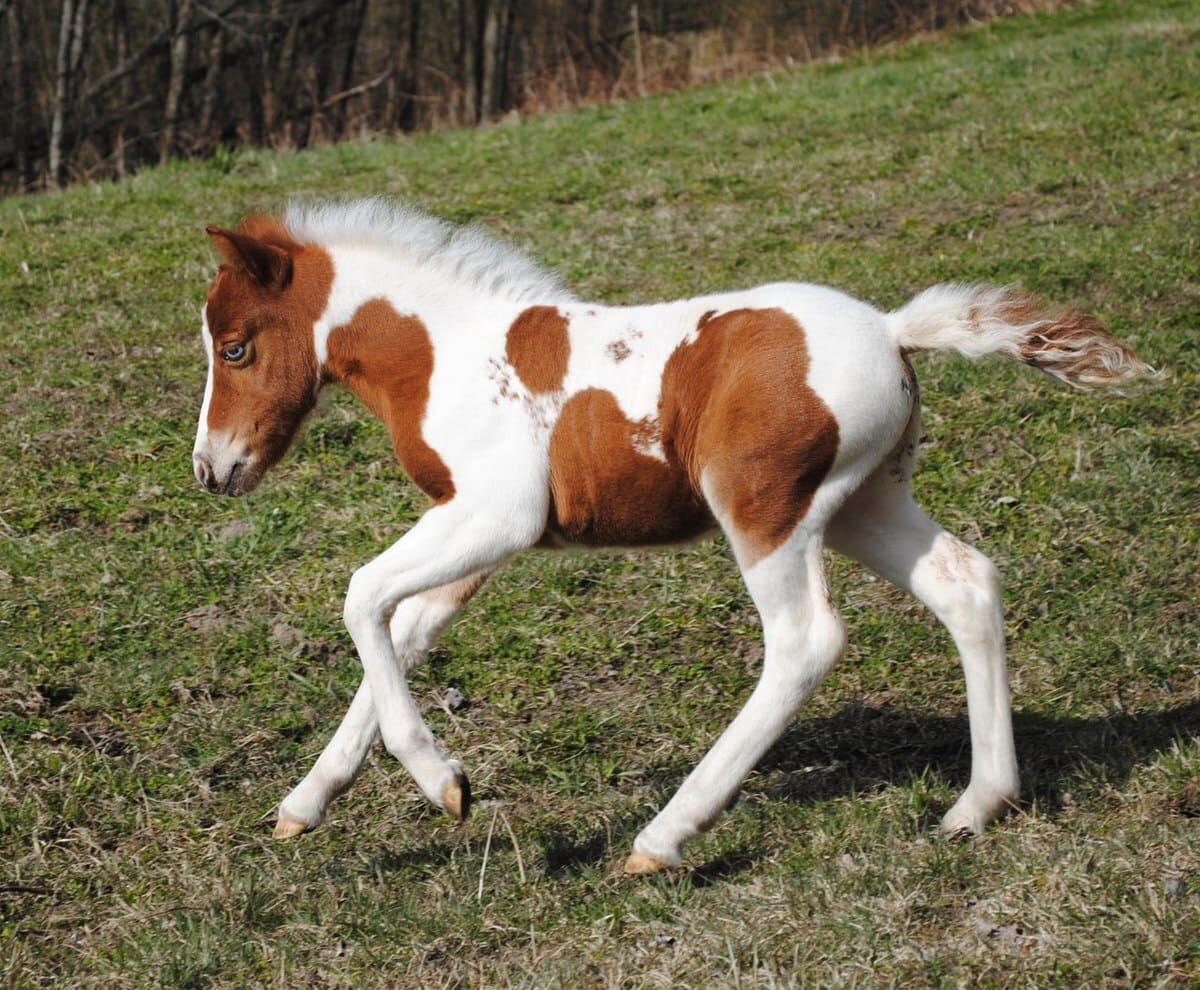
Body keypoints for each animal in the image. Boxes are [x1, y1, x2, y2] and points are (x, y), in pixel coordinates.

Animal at [189, 200, 1152, 873]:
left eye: (234, 348)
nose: (212, 468)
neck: (444, 355)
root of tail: (890, 329)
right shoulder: (468, 535)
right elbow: (402, 630)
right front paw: (307, 804)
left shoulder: (495, 516)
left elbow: (362, 600)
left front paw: (440, 781)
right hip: (864, 506)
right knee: (966, 583)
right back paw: (978, 805)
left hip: (763, 510)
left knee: (804, 642)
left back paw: (664, 838)